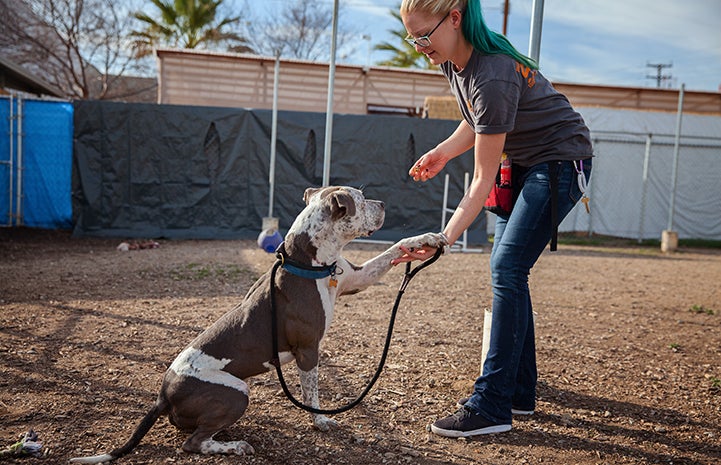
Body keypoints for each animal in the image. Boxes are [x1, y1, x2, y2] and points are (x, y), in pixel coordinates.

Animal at [71, 185, 444, 460]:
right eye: (361, 200)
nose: (382, 203)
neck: (309, 260)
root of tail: (163, 396)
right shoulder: (308, 350)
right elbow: (311, 392)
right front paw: (321, 421)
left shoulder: (356, 278)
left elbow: (392, 250)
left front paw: (426, 239)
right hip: (237, 393)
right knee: (193, 443)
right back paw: (234, 446)